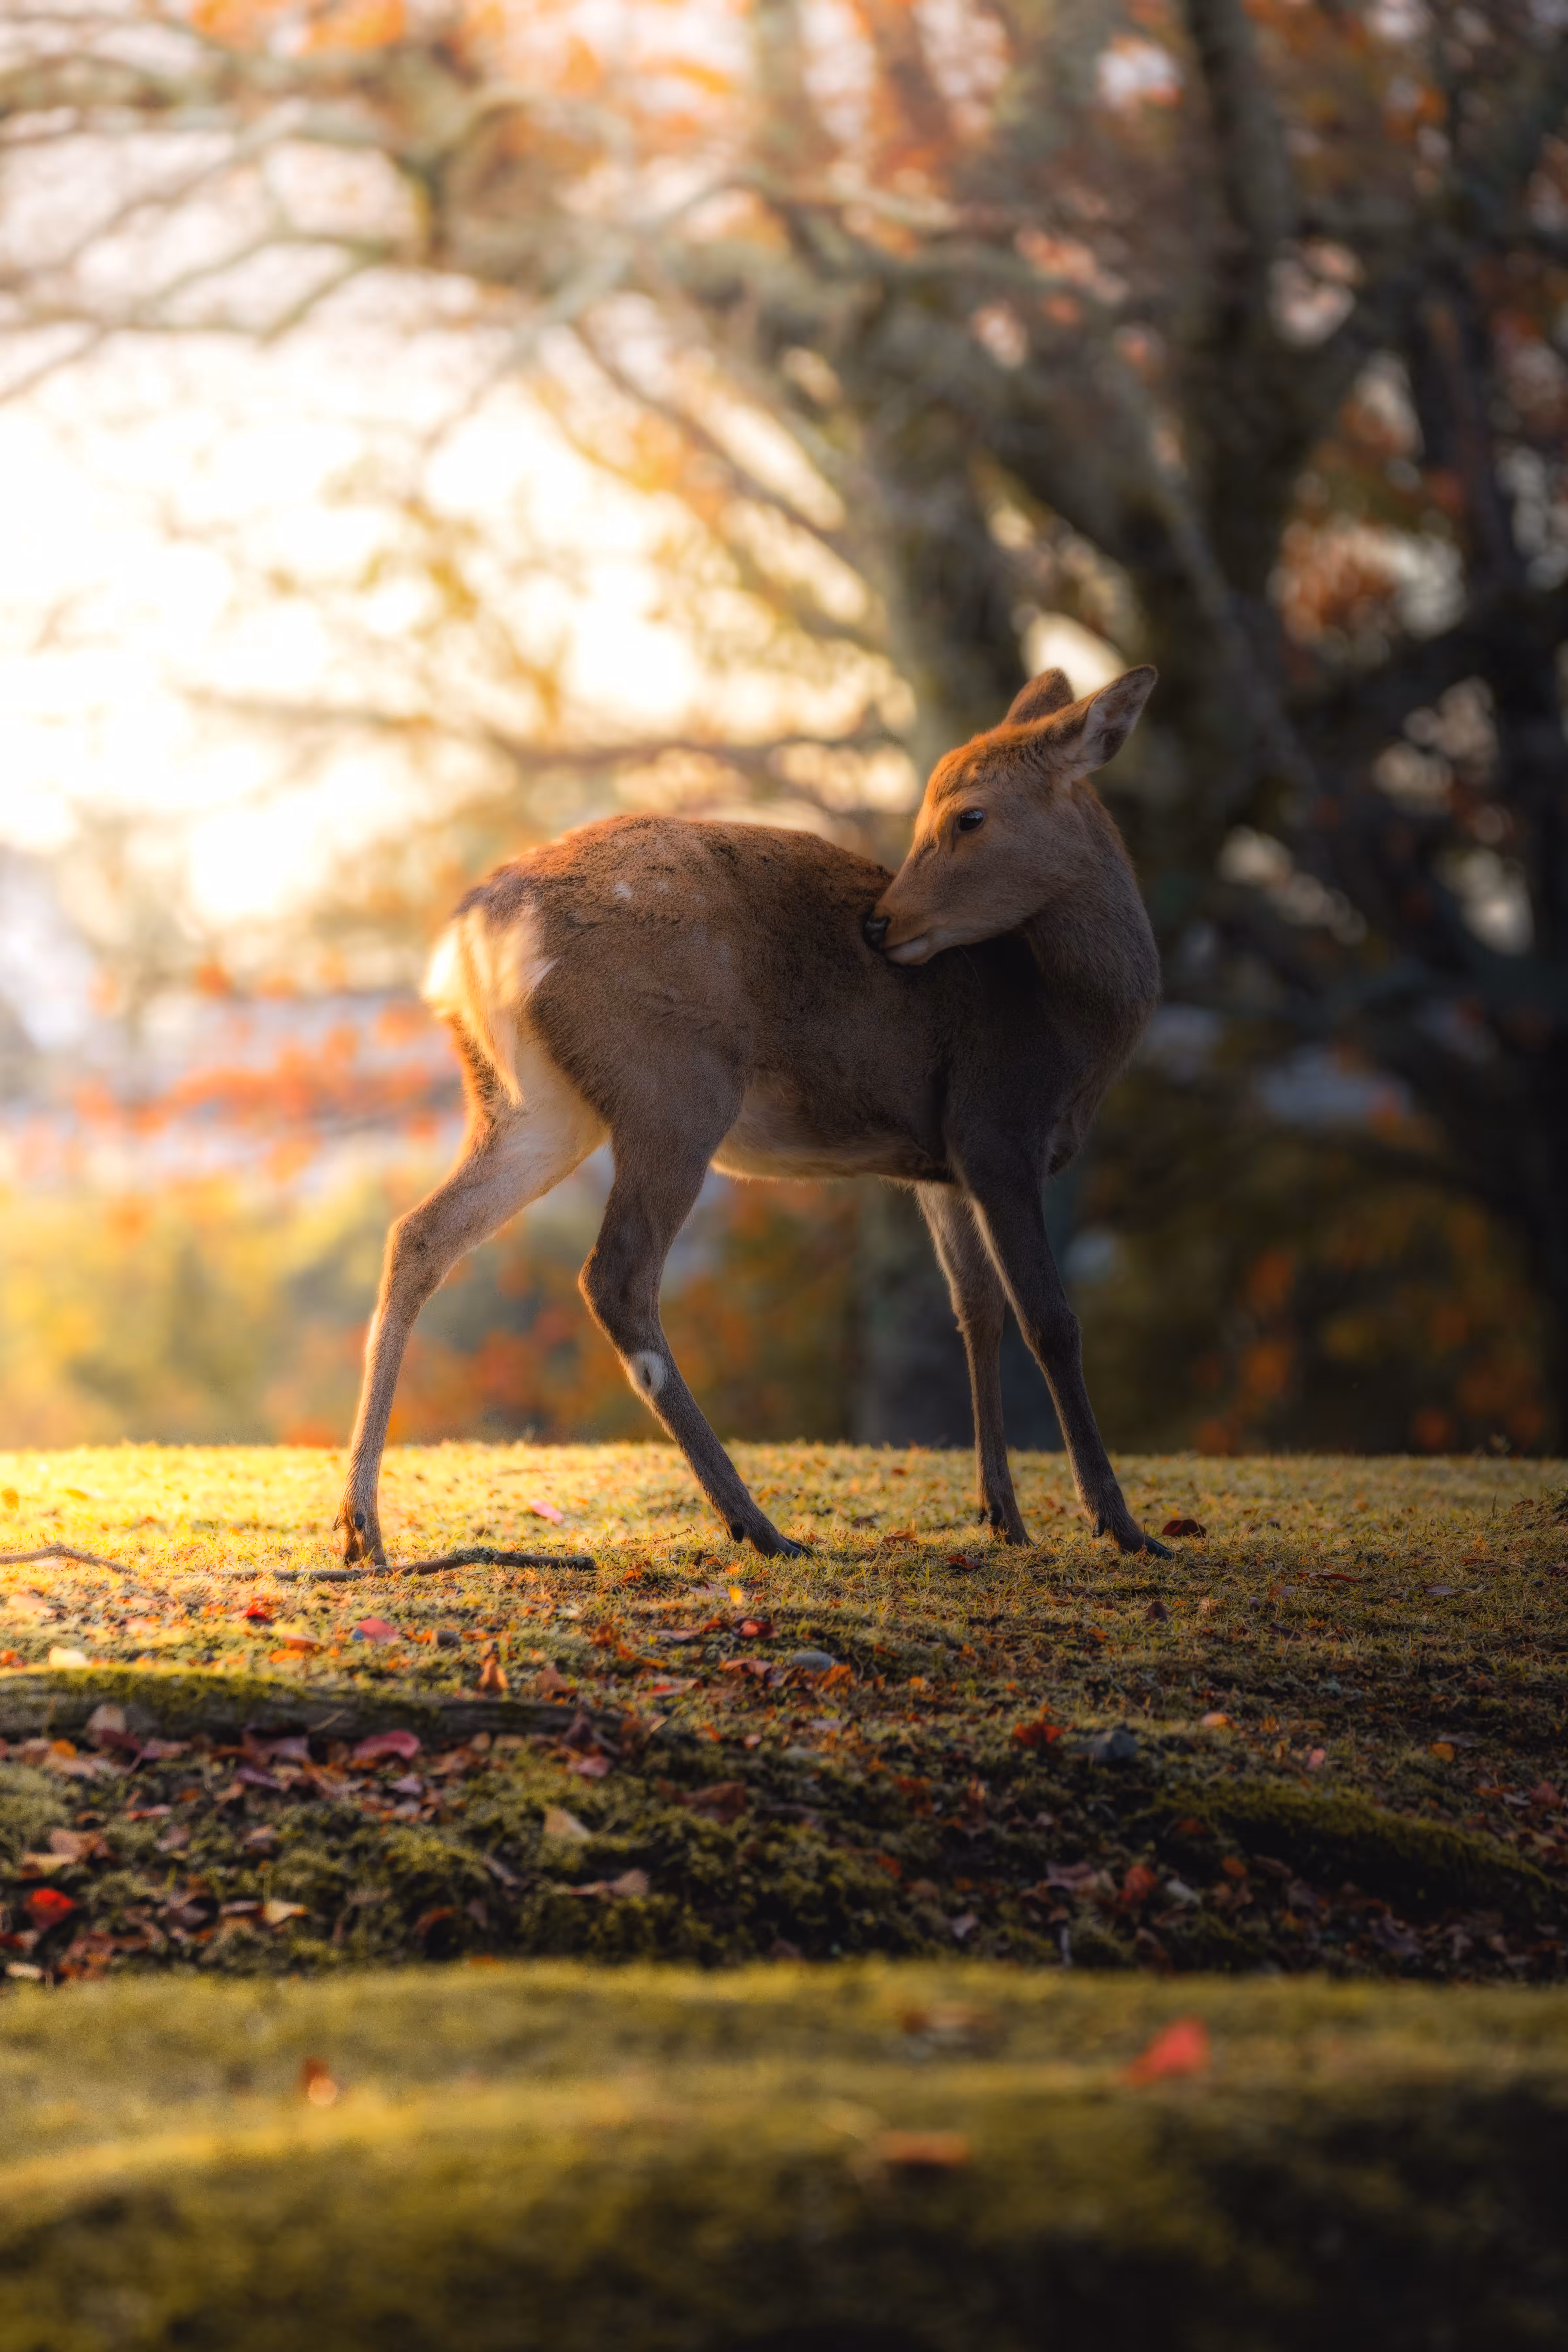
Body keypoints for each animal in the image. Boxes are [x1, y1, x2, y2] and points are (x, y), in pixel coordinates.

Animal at [336, 662, 1171, 1566]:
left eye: (967, 813)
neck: (1070, 1028)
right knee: (615, 1274)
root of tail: (473, 932)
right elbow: (1050, 1320)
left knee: (419, 1234)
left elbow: (975, 1311)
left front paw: (1004, 1519)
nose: (881, 924)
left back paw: (361, 1524)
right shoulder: (996, 1129)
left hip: (531, 1106)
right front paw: (1120, 1525)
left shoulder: (938, 1163)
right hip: (675, 1087)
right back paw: (757, 1523)